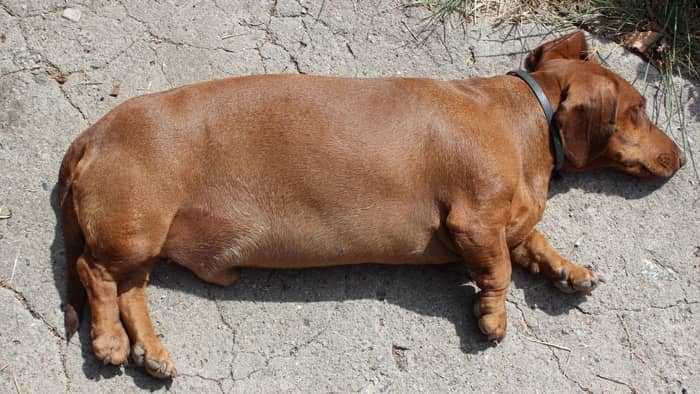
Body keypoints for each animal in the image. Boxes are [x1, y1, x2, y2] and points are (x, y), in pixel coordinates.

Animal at [58, 31, 684, 378]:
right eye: (640, 108)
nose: (681, 158)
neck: (523, 119)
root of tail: (93, 133)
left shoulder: (511, 223)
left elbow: (534, 241)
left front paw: (569, 270)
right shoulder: (474, 219)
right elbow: (501, 270)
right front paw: (494, 317)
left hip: (145, 238)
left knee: (131, 290)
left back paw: (151, 352)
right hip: (134, 229)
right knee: (95, 273)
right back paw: (110, 342)